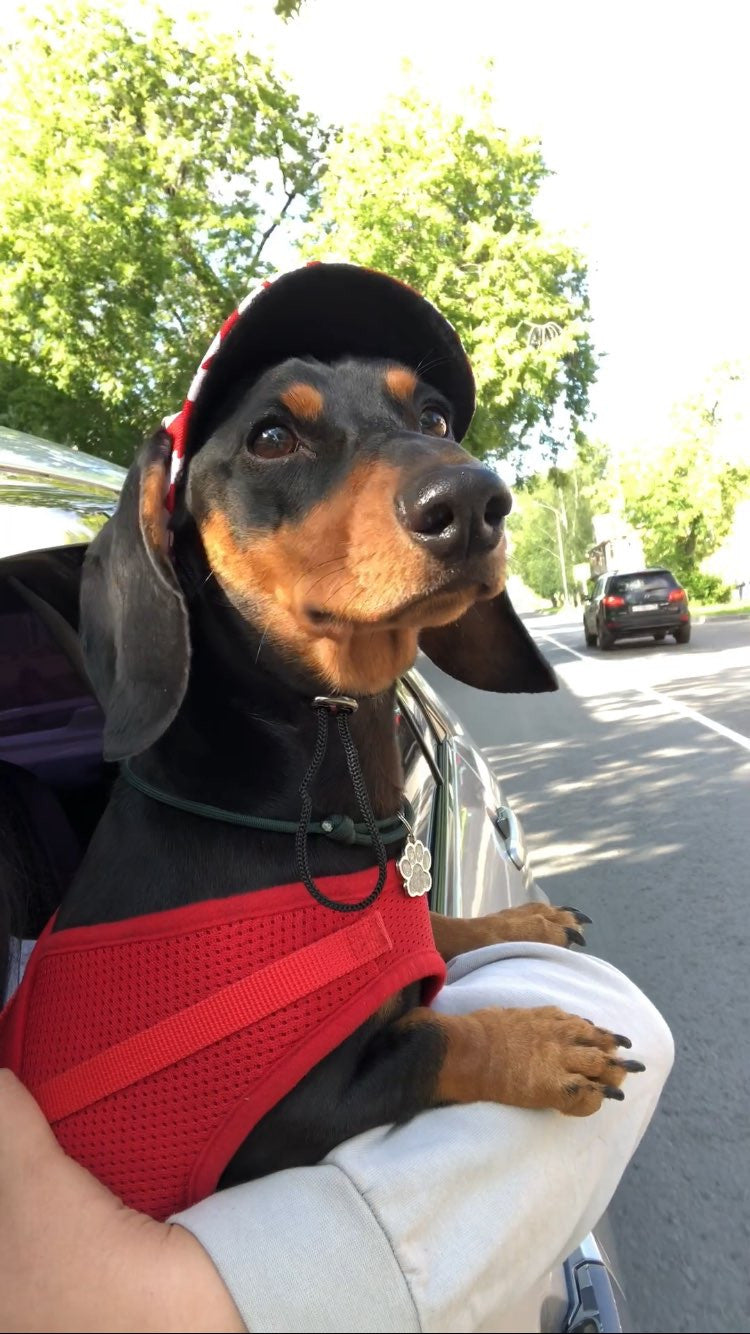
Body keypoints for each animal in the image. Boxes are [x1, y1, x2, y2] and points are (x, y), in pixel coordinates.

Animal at [0, 265, 643, 1216]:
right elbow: (431, 1039)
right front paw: (544, 1044)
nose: (474, 502)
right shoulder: (274, 1117)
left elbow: (430, 924)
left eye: (435, 419)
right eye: (272, 436)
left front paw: (521, 918)